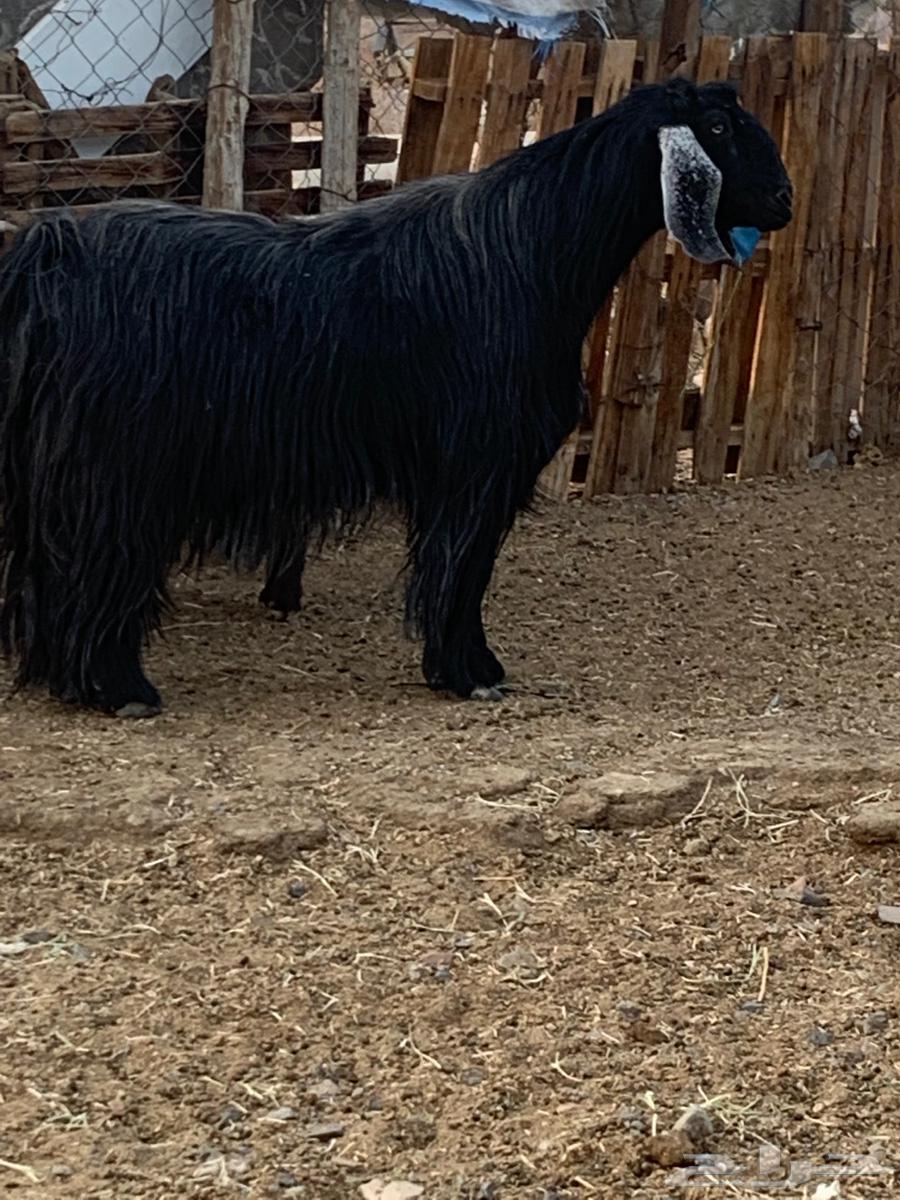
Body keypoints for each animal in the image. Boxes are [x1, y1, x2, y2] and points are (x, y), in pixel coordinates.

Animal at [0, 77, 791, 716]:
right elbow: (462, 568)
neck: (531, 251)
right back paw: (120, 688)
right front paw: (471, 672)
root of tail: (52, 252)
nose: (784, 199)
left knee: (52, 571)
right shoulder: (478, 464)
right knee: (97, 567)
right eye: (717, 128)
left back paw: (69, 680)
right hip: (116, 469)